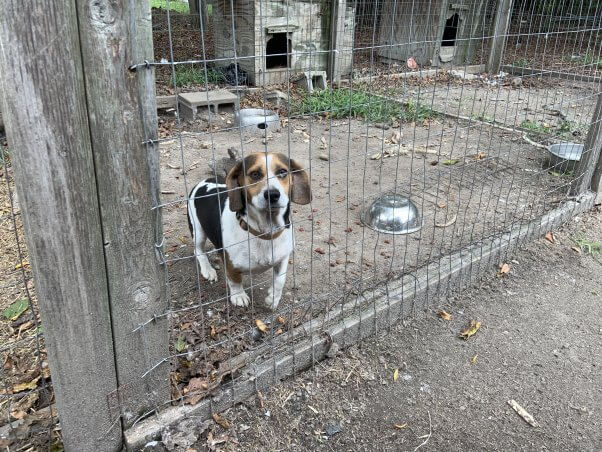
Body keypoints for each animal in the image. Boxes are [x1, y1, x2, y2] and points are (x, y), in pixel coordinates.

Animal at [186, 154, 310, 308]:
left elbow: (280, 280)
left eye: (282, 172)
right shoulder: (230, 264)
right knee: (198, 251)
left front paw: (273, 298)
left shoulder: (284, 256)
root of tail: (204, 181)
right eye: (255, 174)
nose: (272, 194)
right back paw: (208, 270)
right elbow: (235, 280)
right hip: (198, 231)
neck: (265, 233)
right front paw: (239, 296)